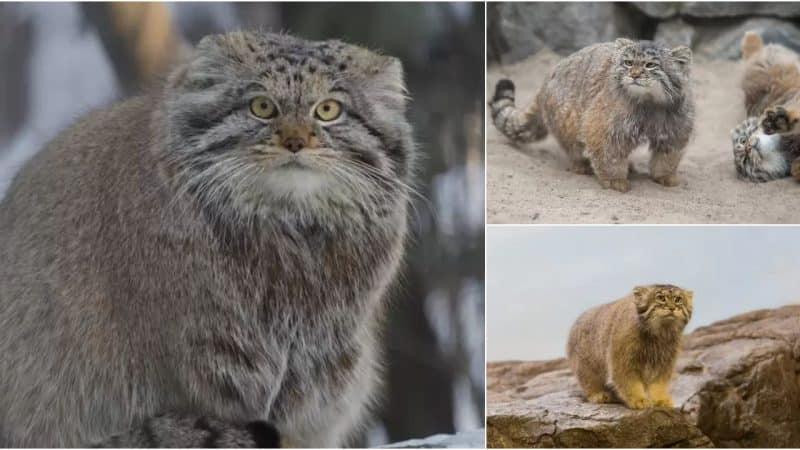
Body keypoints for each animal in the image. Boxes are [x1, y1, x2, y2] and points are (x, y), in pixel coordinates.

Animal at [0, 30, 412, 446]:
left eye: (328, 110)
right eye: (262, 106)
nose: (295, 141)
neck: (288, 234)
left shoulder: (320, 366)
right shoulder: (205, 356)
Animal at [488, 38, 692, 192]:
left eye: (650, 65)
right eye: (628, 63)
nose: (634, 75)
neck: (650, 103)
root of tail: (544, 82)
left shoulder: (676, 130)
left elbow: (667, 156)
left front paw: (664, 175)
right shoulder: (603, 127)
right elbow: (608, 154)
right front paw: (615, 179)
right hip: (568, 118)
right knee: (573, 146)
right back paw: (581, 164)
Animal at [564, 286, 692, 410]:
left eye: (678, 299)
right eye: (661, 298)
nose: (672, 308)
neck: (659, 335)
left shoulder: (665, 362)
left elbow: (659, 384)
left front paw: (661, 399)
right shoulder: (622, 359)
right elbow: (629, 382)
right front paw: (638, 399)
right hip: (586, 366)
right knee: (588, 381)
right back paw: (599, 394)